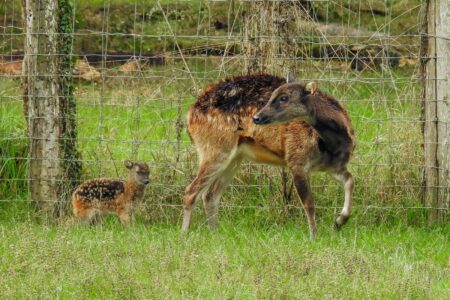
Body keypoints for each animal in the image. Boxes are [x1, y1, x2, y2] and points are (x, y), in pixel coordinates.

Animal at [183, 74, 356, 238]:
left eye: (284, 97)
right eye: (273, 94)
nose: (256, 117)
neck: (333, 144)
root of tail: (190, 114)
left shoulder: (334, 166)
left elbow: (350, 180)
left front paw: (339, 222)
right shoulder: (296, 159)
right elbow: (309, 203)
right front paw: (314, 236)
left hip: (235, 157)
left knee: (210, 195)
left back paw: (214, 233)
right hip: (214, 148)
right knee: (191, 191)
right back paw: (184, 234)